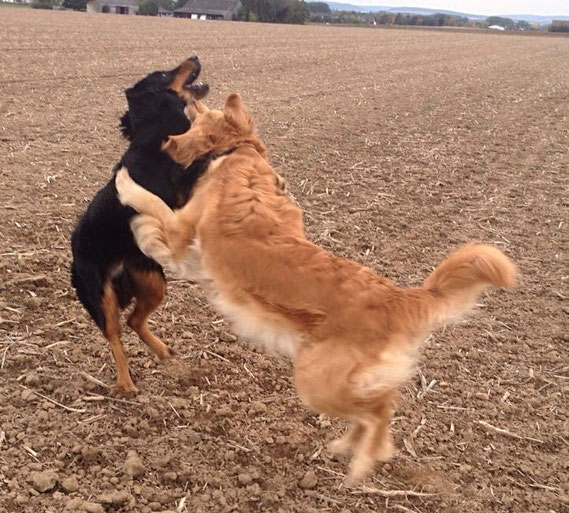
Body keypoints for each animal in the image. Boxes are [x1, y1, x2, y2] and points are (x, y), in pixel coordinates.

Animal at [71, 55, 209, 392]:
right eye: (162, 74)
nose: (195, 57)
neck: (154, 138)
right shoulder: (174, 194)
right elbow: (200, 161)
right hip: (100, 296)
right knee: (114, 336)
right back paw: (125, 384)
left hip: (153, 281)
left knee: (134, 320)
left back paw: (163, 351)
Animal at [114, 93, 516, 484]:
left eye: (195, 126)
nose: (167, 141)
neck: (242, 152)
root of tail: (396, 298)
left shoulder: (182, 231)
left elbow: (152, 204)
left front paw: (125, 184)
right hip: (347, 380)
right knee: (384, 403)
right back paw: (349, 447)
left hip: (316, 381)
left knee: (377, 411)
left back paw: (361, 465)